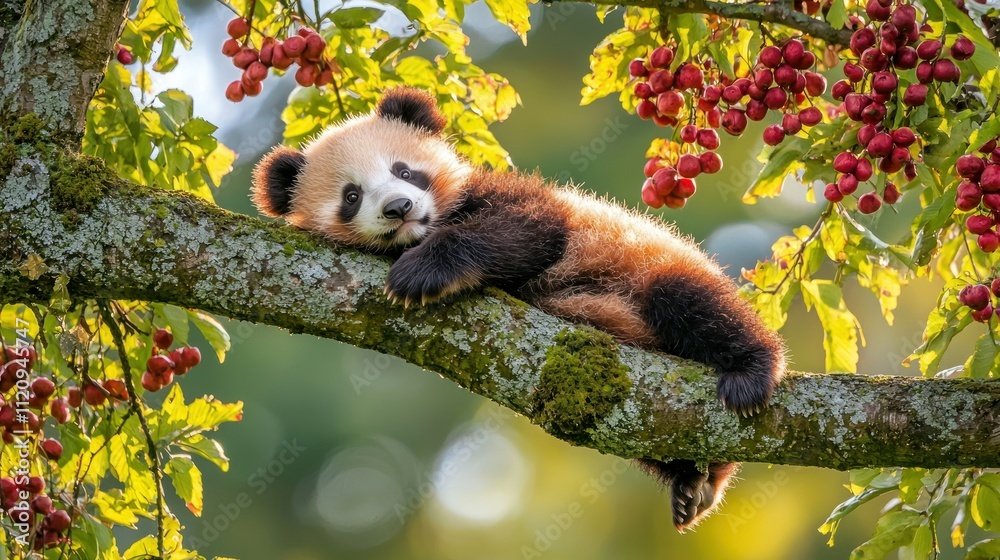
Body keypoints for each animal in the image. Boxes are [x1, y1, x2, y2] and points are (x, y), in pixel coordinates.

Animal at [252, 87, 787, 530]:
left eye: (404, 170)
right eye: (351, 195)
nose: (399, 208)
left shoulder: (518, 201)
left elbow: (528, 231)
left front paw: (420, 273)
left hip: (650, 266)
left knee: (691, 302)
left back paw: (748, 375)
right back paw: (692, 482)